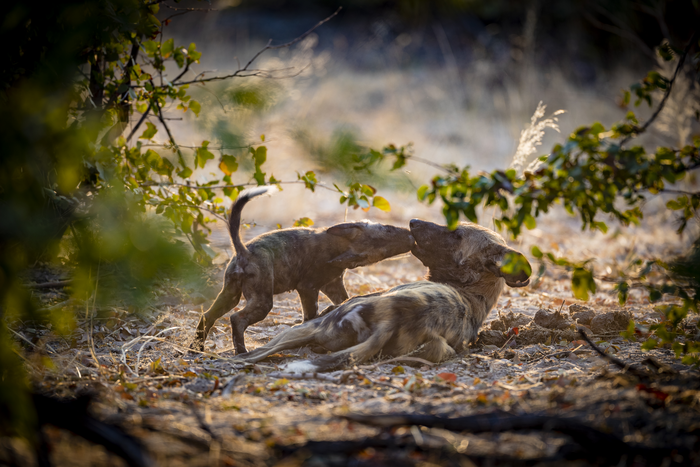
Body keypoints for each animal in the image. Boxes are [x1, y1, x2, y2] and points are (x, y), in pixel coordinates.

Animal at [190, 186, 416, 354]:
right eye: (387, 231)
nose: (410, 235)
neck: (335, 246)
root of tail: (243, 250)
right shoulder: (308, 289)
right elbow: (310, 317)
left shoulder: (332, 287)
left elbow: (343, 301)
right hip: (263, 301)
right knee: (237, 319)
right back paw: (241, 352)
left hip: (230, 295)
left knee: (207, 316)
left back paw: (196, 348)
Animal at [232, 218, 532, 372]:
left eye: (457, 235)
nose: (413, 222)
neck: (469, 291)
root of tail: (392, 320)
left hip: (303, 330)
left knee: (258, 351)